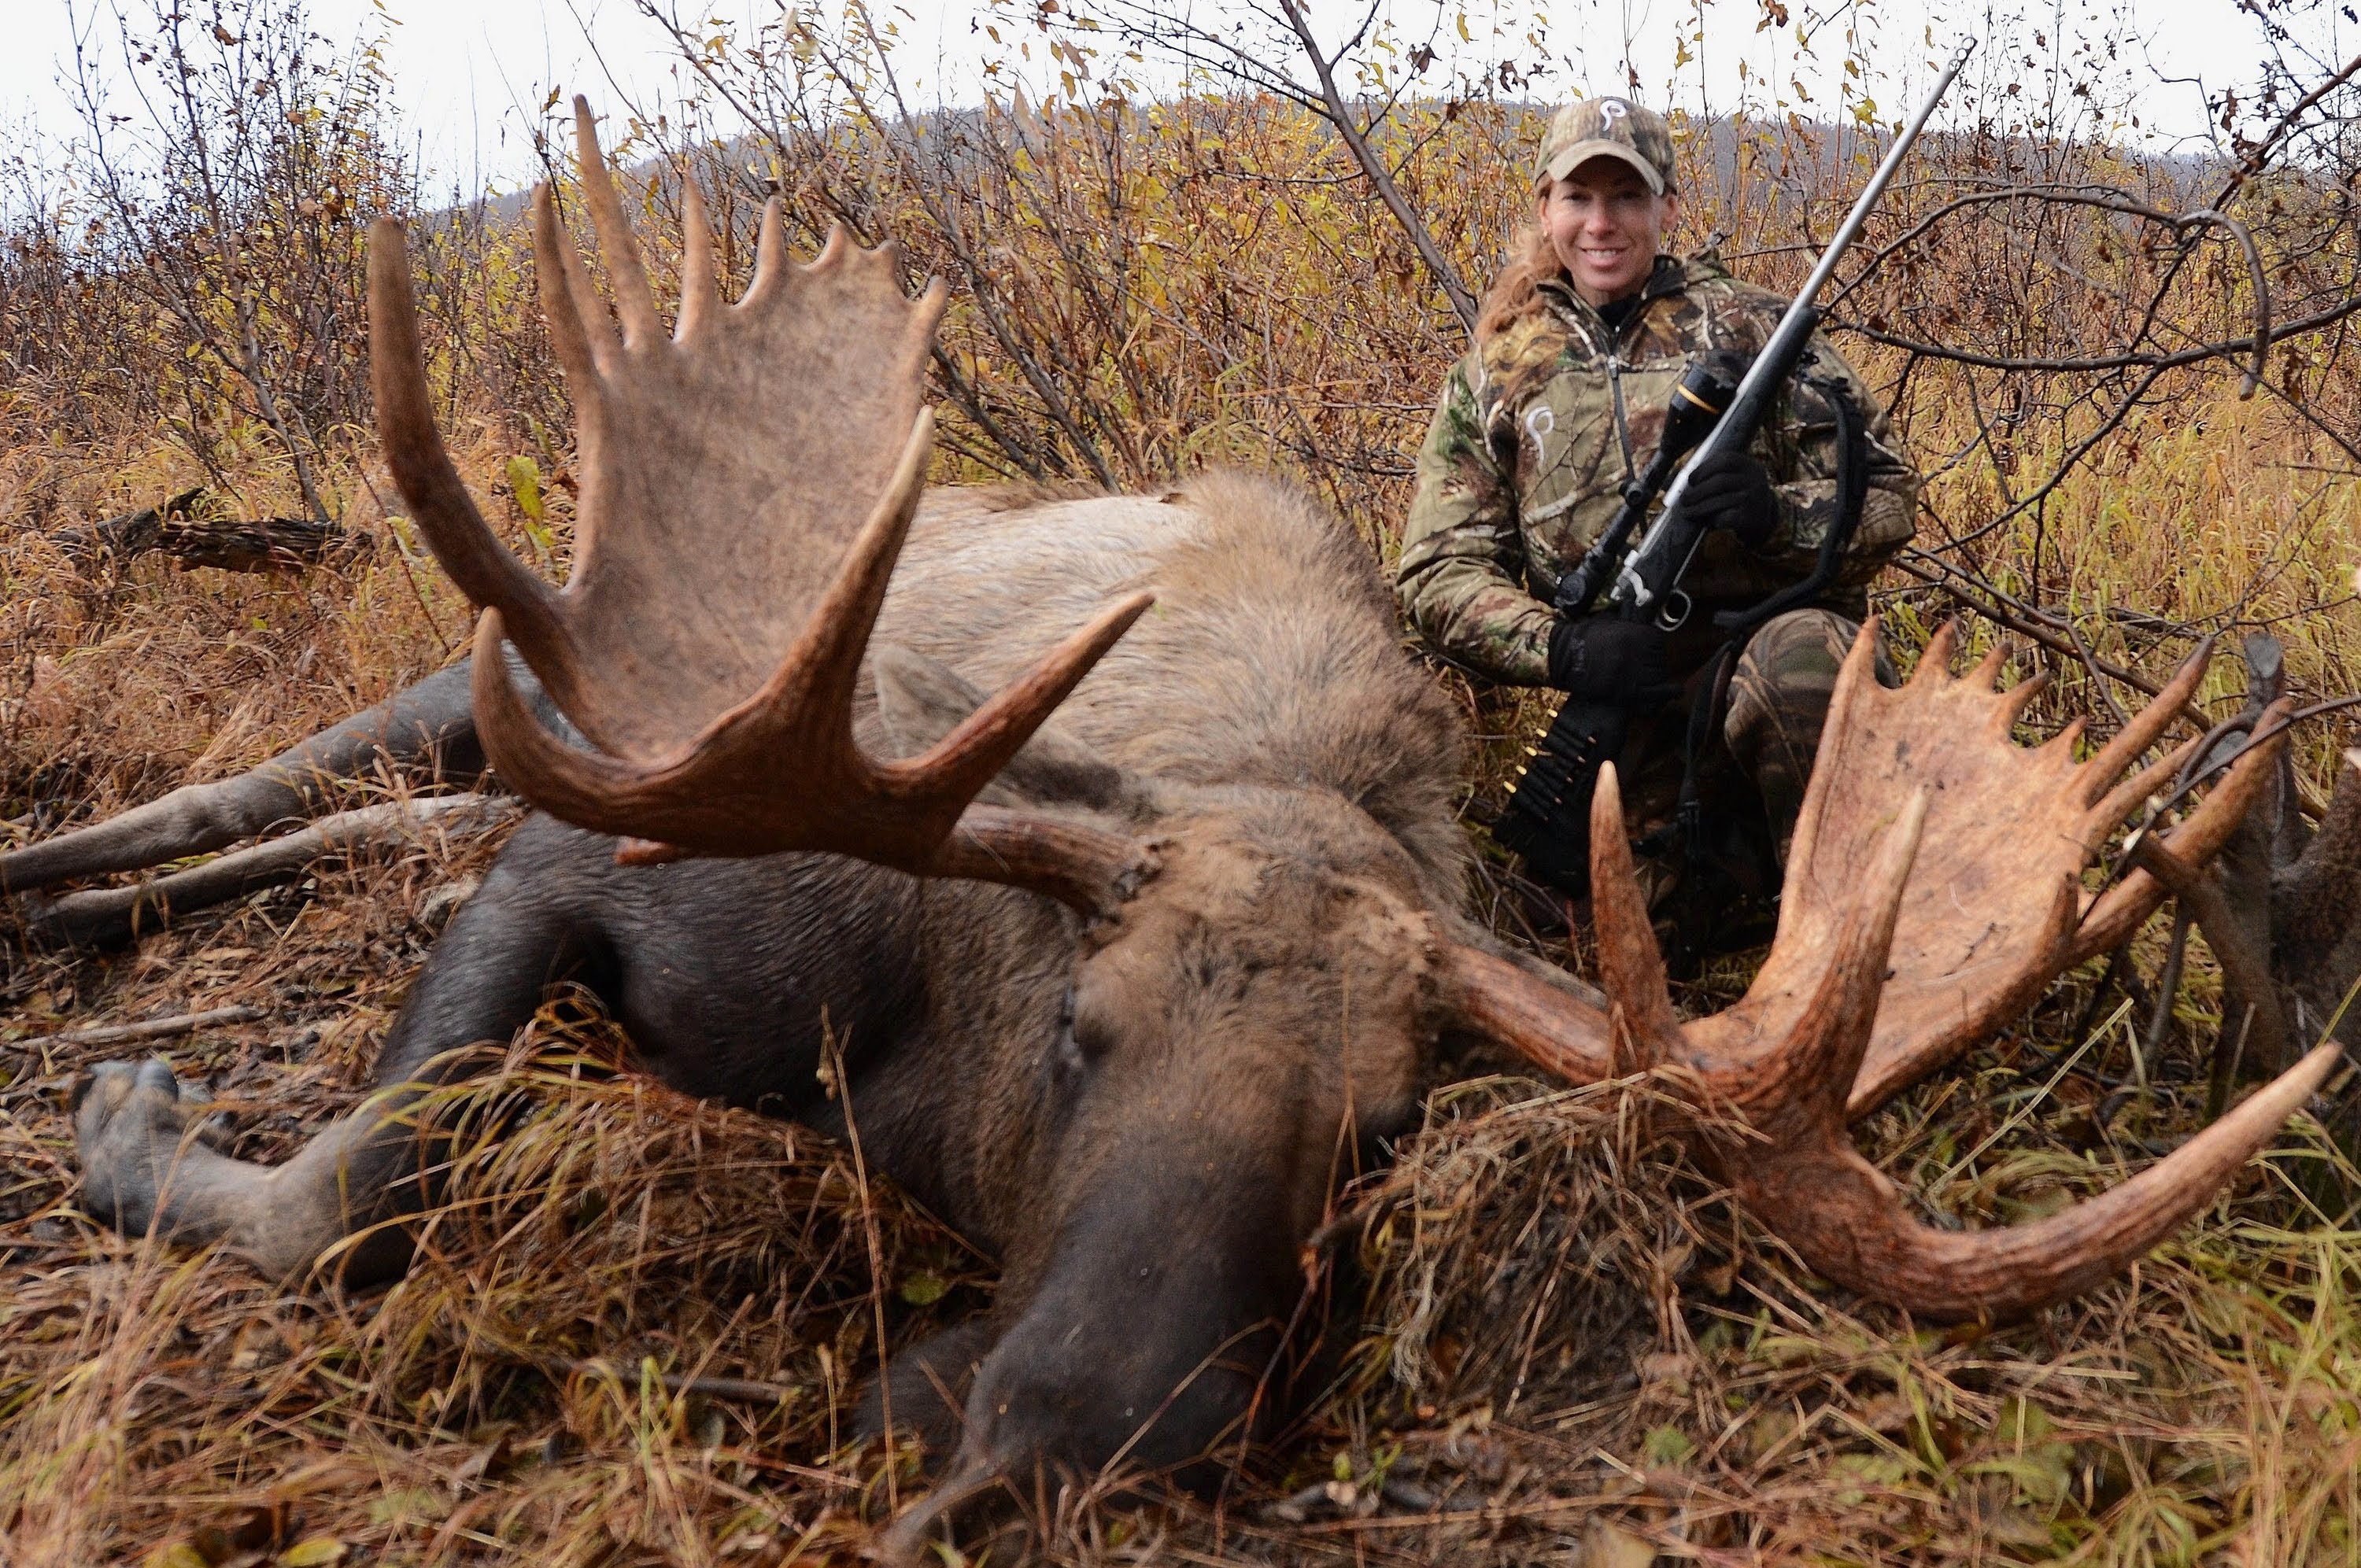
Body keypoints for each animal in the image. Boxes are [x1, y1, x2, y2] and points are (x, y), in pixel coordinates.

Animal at [28, 107, 2352, 1539]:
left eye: (1380, 1128)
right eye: (1084, 1028)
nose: (1060, 1449)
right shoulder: (596, 860)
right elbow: (362, 1182)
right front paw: (131, 1115)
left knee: (321, 834)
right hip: (524, 681)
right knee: (290, 784)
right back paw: (53, 888)